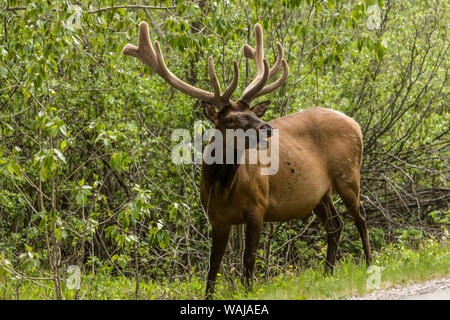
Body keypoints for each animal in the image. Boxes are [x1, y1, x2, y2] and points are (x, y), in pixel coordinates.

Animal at [123, 21, 372, 298]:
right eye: (230, 119)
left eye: (253, 112)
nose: (267, 128)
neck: (224, 187)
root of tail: (355, 123)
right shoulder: (216, 217)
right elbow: (213, 265)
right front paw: (208, 295)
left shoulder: (258, 206)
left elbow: (249, 257)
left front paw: (249, 291)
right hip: (320, 193)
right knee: (335, 225)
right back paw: (327, 273)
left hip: (347, 174)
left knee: (360, 217)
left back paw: (370, 264)